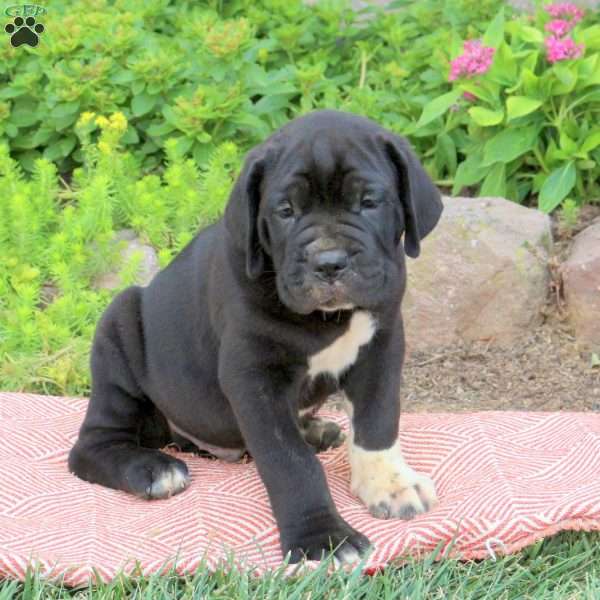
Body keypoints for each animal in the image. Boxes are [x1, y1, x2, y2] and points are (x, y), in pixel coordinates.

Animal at [71, 110, 446, 564]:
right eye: (285, 211)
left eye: (369, 202)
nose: (329, 262)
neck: (329, 318)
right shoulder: (253, 378)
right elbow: (290, 461)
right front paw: (322, 538)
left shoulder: (381, 349)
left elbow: (377, 423)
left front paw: (389, 485)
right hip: (118, 328)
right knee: (93, 444)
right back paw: (154, 469)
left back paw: (315, 430)